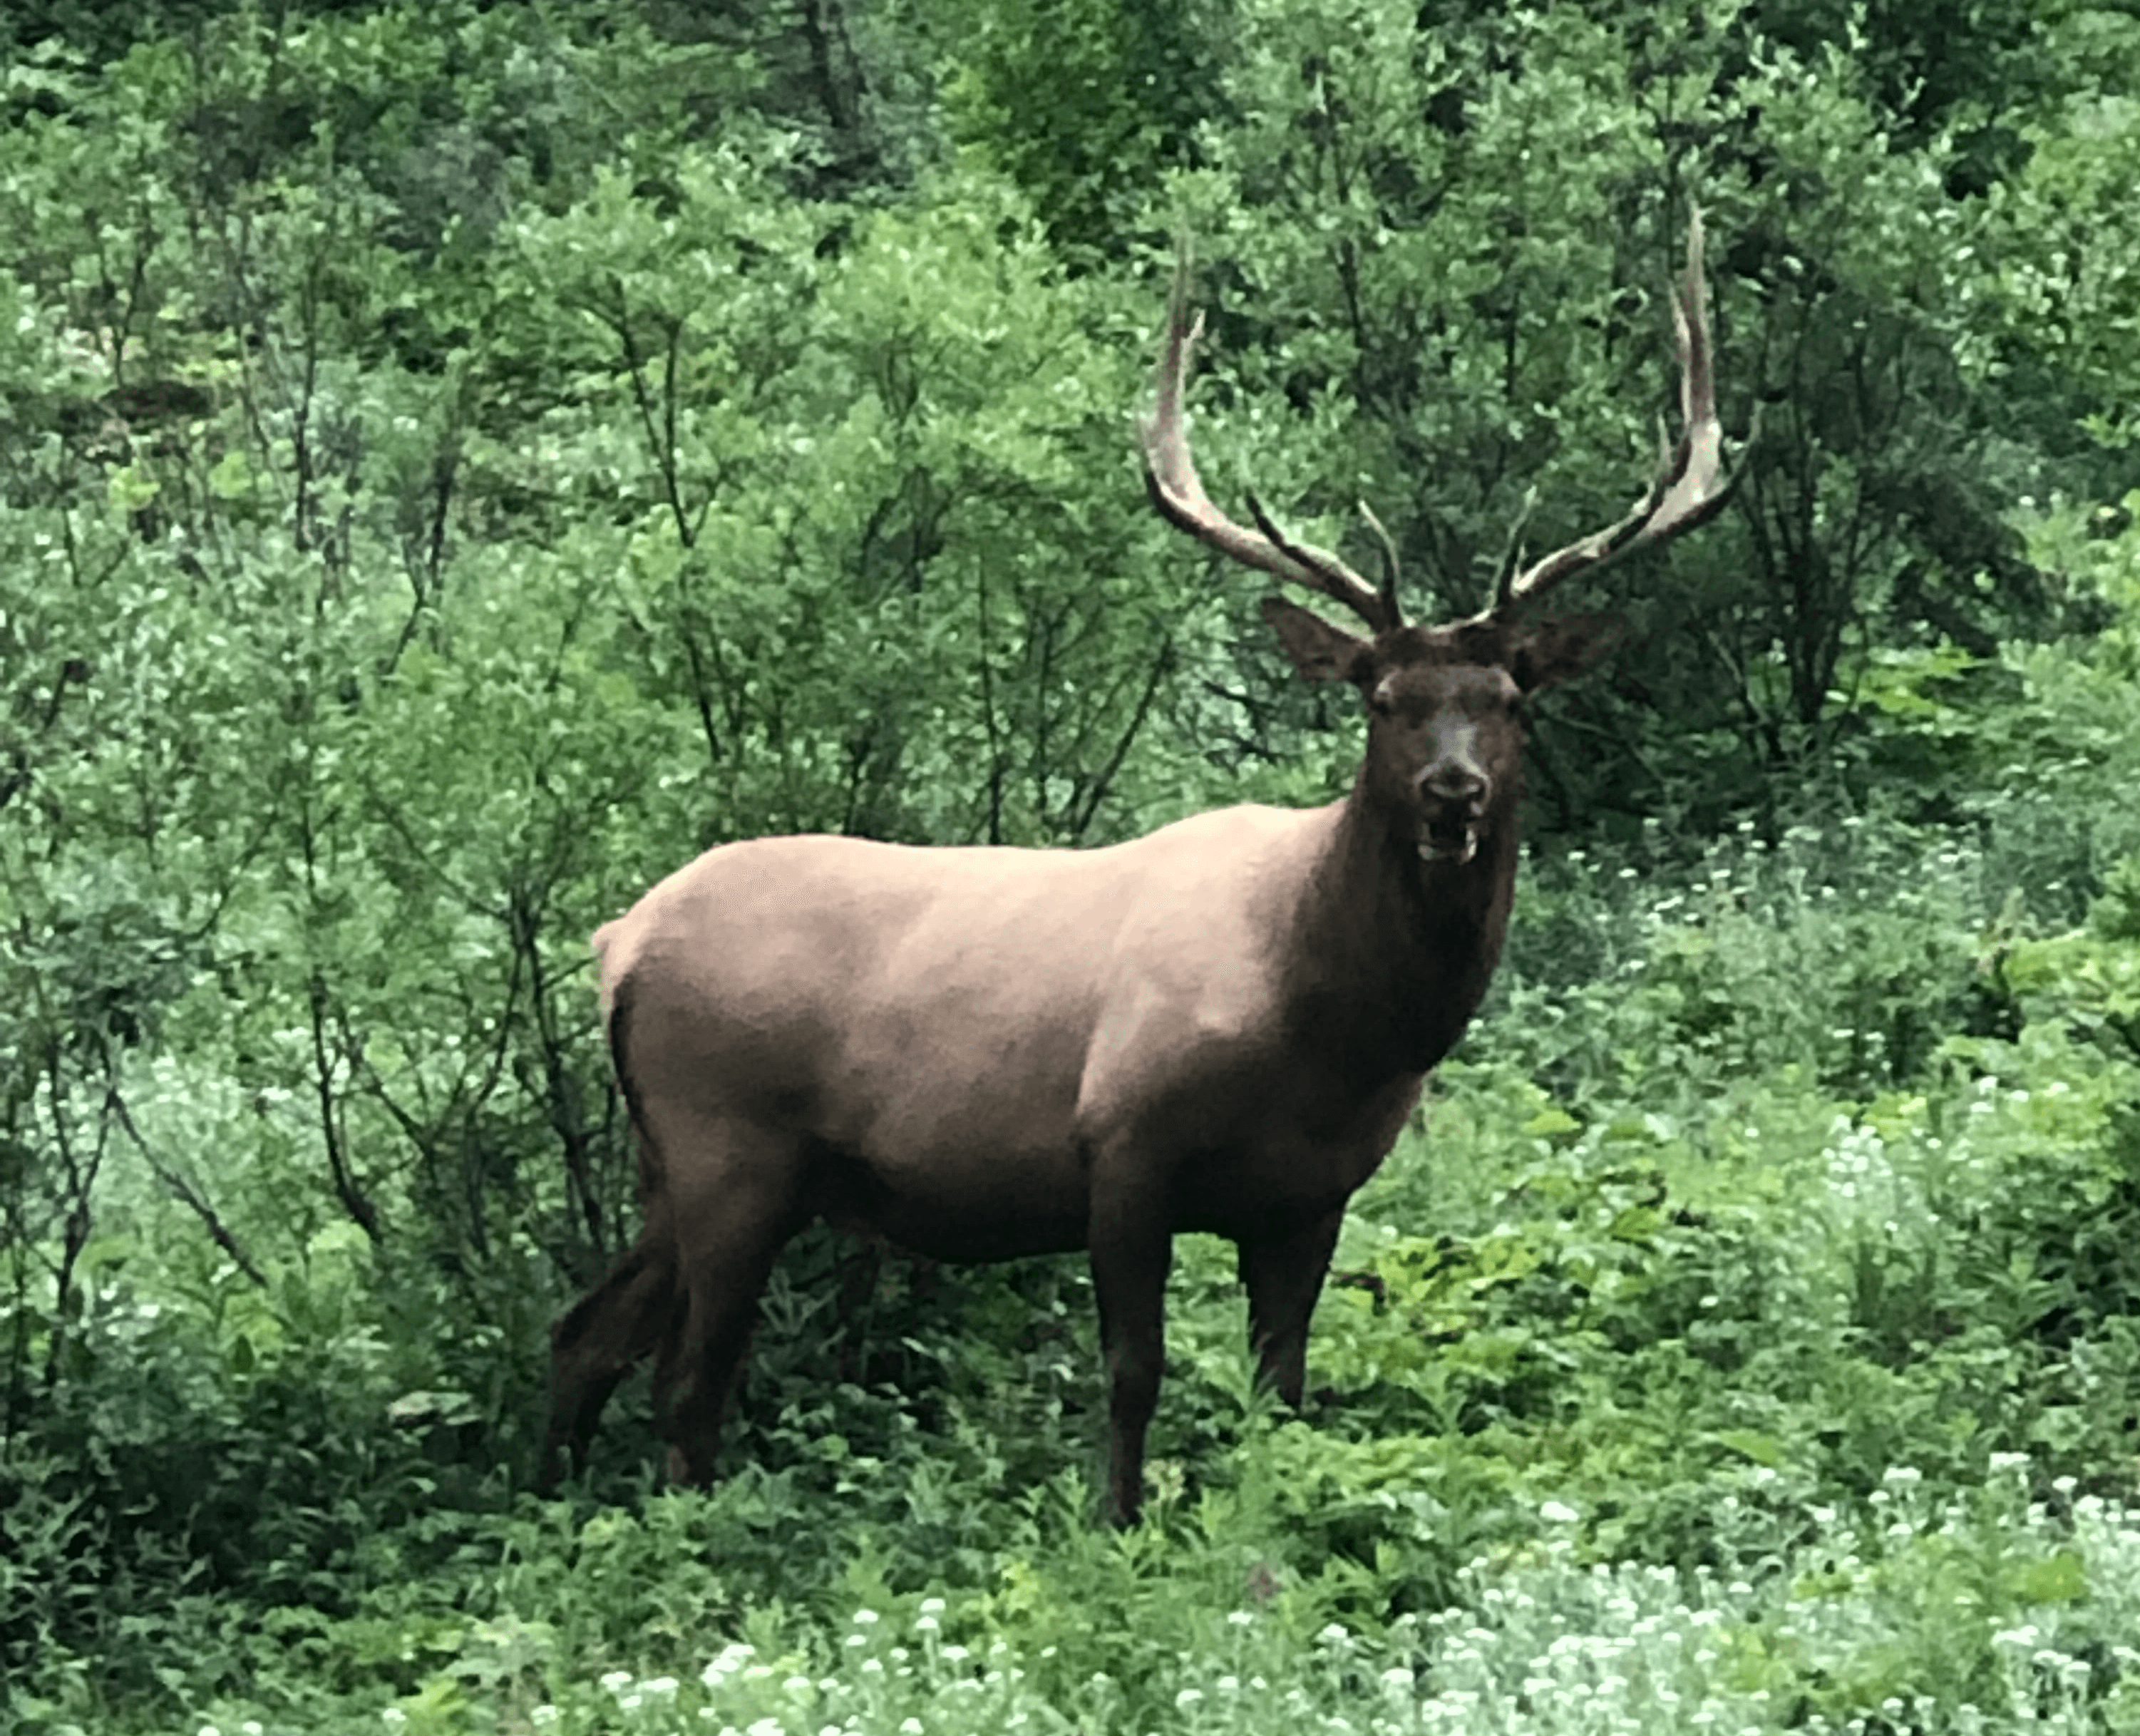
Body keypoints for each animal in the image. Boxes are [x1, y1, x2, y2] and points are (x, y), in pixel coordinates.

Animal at [539, 217, 1737, 1524]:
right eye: (1381, 698)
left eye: (1510, 701)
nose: (1451, 794)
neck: (1330, 1026)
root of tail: (617, 942)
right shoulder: (1119, 1140)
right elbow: (1132, 1369)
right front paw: (1117, 1525)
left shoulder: (1312, 1193)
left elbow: (1282, 1384)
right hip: (727, 1144)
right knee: (686, 1380)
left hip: (680, 1165)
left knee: (583, 1334)